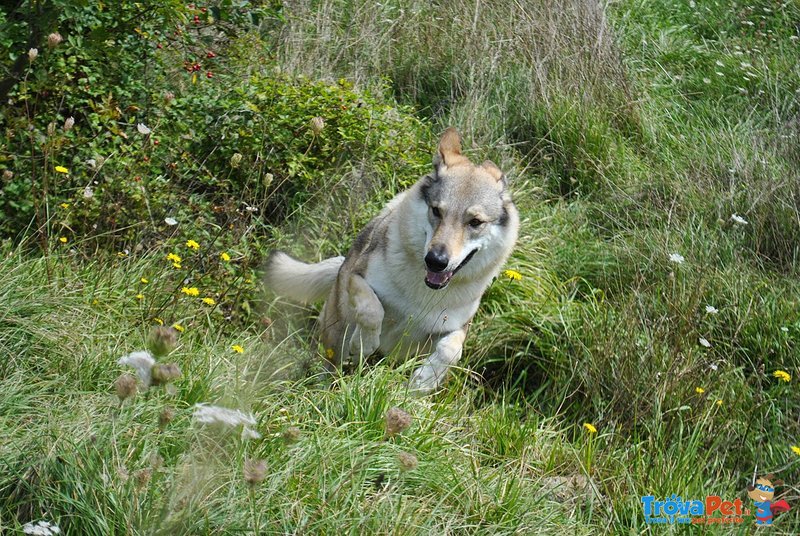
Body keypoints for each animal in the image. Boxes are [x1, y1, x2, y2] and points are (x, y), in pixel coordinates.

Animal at [266, 127, 520, 392]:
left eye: (475, 222)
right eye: (436, 211)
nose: (436, 260)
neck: (422, 293)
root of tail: (339, 265)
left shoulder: (456, 327)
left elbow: (452, 350)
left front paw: (424, 381)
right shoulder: (357, 278)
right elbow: (372, 310)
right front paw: (364, 344)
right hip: (335, 336)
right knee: (329, 366)